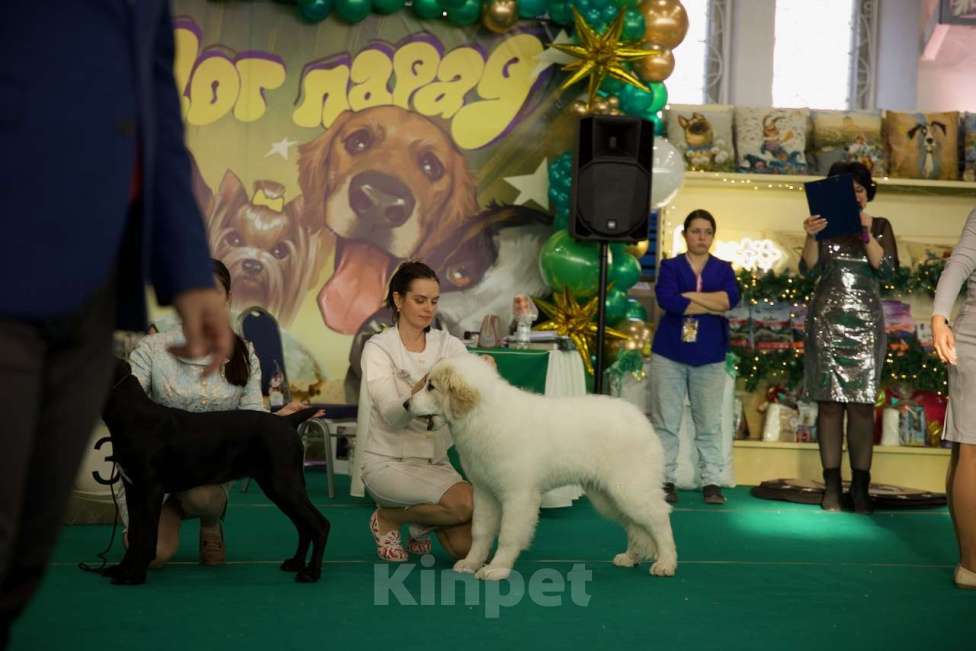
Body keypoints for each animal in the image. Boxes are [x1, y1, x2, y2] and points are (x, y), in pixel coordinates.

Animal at [406, 354, 680, 584]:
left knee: (659, 518)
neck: (481, 416)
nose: (406, 403)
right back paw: (631, 557)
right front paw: (471, 563)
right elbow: (480, 532)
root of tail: (640, 418)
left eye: (431, 387)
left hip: (630, 489)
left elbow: (508, 534)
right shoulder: (484, 492)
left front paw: (497, 569)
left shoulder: (518, 495)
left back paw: (666, 563)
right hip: (608, 496)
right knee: (635, 525)